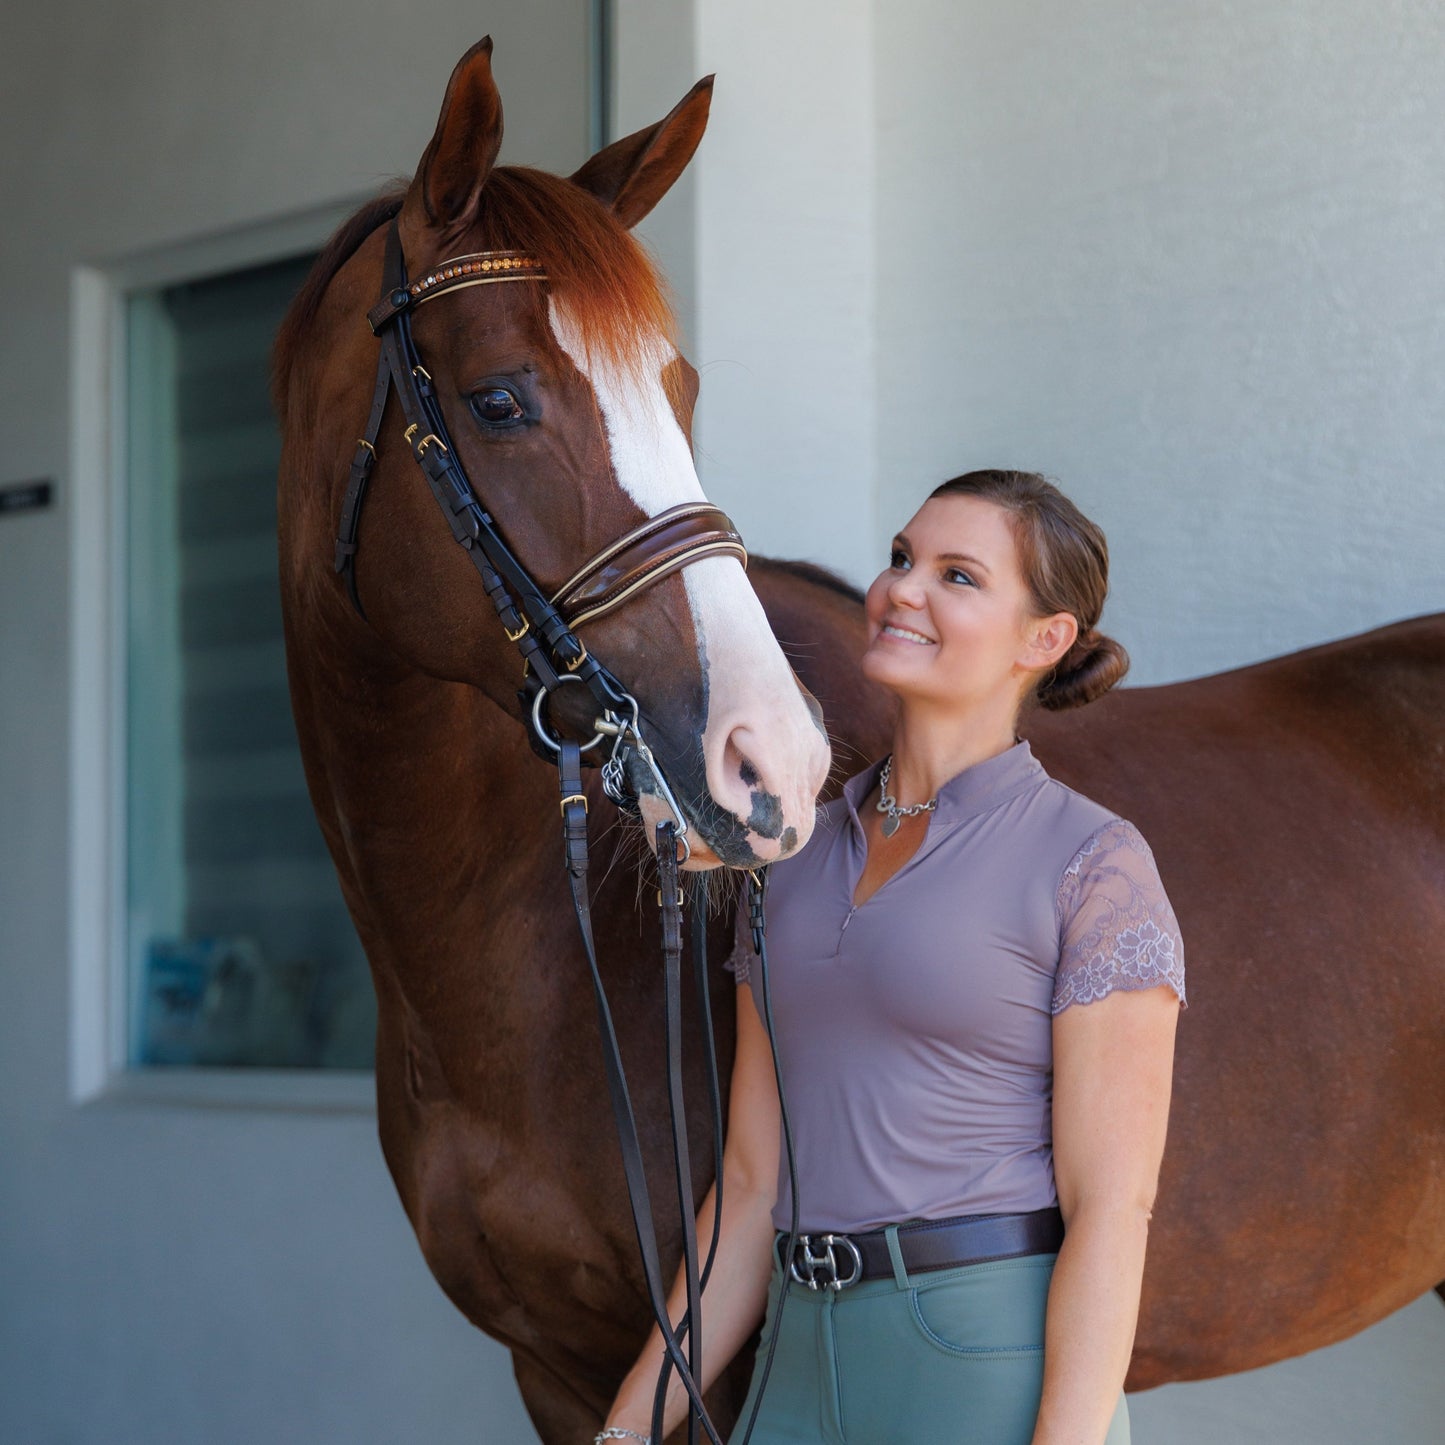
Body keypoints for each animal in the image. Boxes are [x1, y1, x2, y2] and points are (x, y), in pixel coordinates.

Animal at [273, 36, 1445, 1445]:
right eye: (497, 400)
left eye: (679, 387)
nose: (770, 763)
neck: (518, 965)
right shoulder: (557, 1370)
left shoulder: (710, 1366)